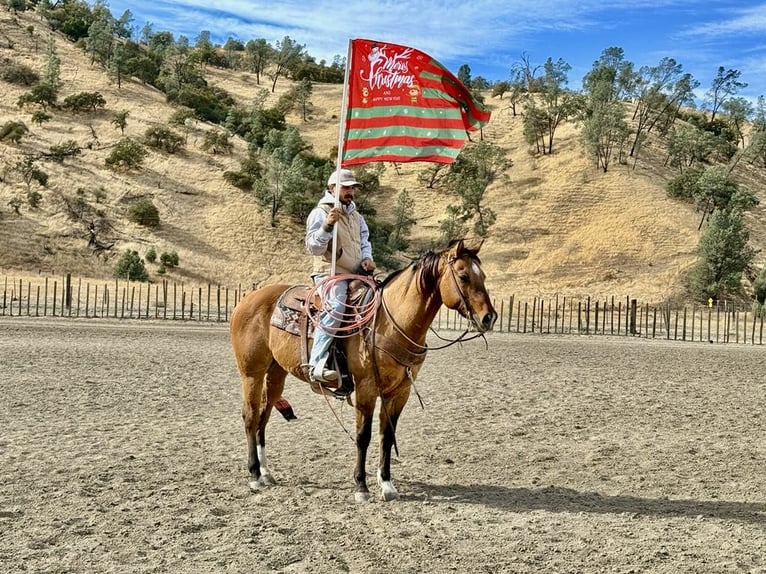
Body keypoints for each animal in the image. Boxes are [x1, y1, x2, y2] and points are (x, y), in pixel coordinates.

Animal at [229, 239, 498, 502]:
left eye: (483, 276)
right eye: (463, 276)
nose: (489, 318)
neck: (390, 322)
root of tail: (247, 299)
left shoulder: (400, 391)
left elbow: (387, 435)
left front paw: (387, 483)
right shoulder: (366, 387)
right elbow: (363, 436)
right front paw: (361, 486)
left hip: (276, 374)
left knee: (264, 416)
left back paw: (266, 472)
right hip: (251, 373)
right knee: (250, 416)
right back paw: (254, 475)